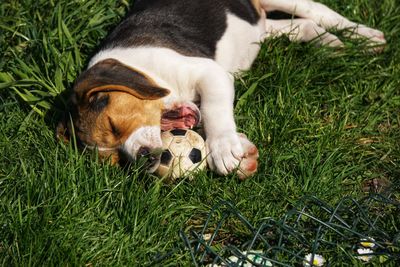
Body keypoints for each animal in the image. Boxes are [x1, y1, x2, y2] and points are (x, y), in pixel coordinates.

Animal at [57, 0, 386, 180]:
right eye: (117, 160)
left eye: (113, 125)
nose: (143, 158)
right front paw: (243, 153)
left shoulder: (210, 73)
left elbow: (215, 110)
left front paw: (225, 148)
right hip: (260, 29)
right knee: (303, 25)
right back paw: (331, 43)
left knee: (318, 11)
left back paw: (366, 36)